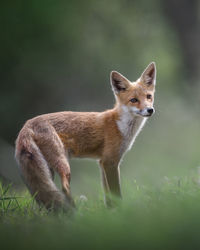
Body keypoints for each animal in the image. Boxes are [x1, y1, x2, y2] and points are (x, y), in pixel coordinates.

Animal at [15, 62, 156, 211]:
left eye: (148, 96)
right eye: (134, 100)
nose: (150, 110)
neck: (120, 126)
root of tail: (27, 124)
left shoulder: (102, 162)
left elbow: (108, 196)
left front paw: (111, 211)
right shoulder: (110, 162)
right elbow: (116, 193)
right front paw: (121, 211)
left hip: (47, 170)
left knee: (41, 195)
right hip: (63, 164)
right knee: (64, 188)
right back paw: (74, 211)